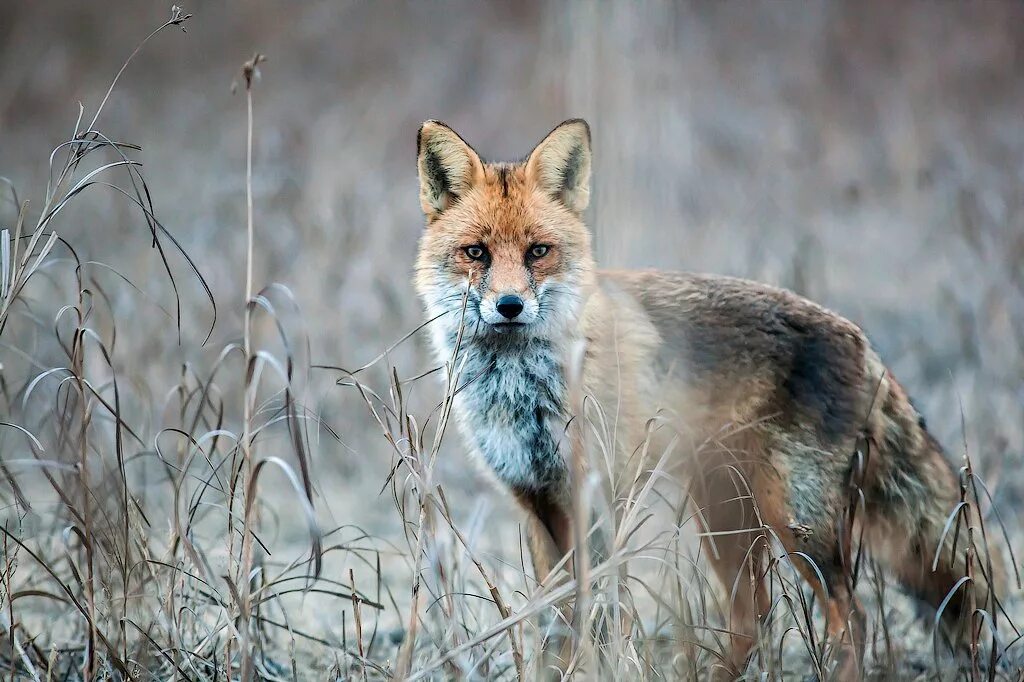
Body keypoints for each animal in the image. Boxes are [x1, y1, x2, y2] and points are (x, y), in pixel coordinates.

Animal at [411, 116, 1003, 675]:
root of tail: (861, 338)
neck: (523, 391)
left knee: (850, 620)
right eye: (476, 253)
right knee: (755, 617)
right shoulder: (535, 500)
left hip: (795, 520)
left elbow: (601, 611)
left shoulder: (599, 495)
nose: (509, 306)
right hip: (725, 514)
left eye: (538, 251)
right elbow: (558, 620)